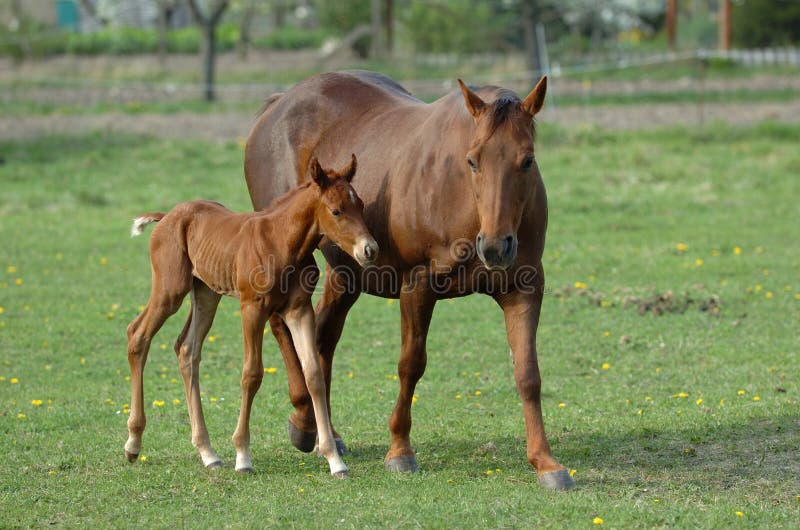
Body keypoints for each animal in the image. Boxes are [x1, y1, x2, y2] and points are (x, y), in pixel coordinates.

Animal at [122, 154, 378, 474]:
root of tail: (167, 215)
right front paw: (243, 455)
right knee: (138, 335)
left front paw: (334, 459)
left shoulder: (299, 309)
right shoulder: (252, 307)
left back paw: (207, 452)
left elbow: (314, 374)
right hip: (170, 289)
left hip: (206, 294)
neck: (281, 242)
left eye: (362, 206)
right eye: (336, 211)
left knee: (187, 349)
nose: (370, 249)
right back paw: (133, 443)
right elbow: (252, 374)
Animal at [245, 69, 576, 486]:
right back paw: (304, 421)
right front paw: (400, 450)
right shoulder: (418, 286)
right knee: (282, 325)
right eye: (472, 161)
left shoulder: (525, 289)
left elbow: (528, 373)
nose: (496, 246)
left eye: (528, 160)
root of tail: (279, 104)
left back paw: (326, 434)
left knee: (321, 338)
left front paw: (546, 462)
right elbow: (411, 364)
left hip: (346, 274)